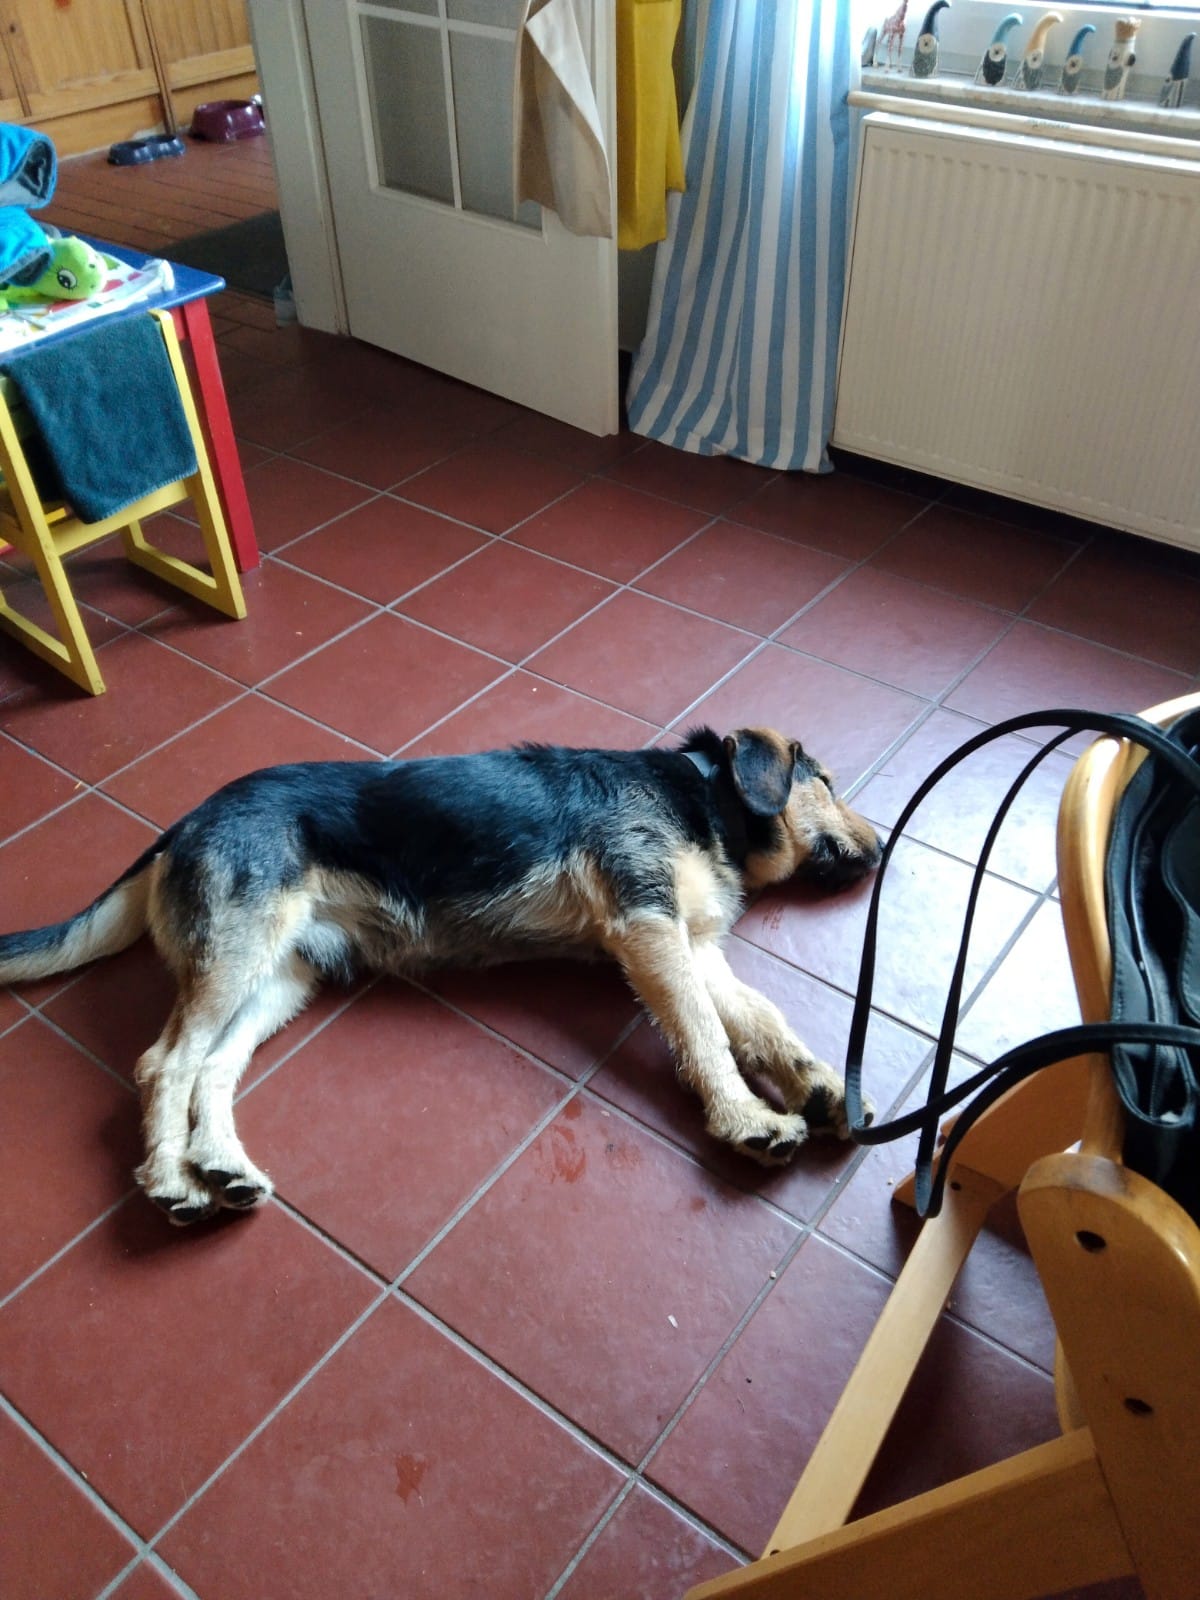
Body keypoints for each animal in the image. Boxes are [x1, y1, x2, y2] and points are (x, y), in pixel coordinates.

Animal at [0, 726, 881, 1224]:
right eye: (826, 782)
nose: (881, 848)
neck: (703, 793)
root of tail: (183, 823)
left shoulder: (694, 947)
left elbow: (760, 1019)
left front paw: (819, 1085)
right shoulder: (649, 925)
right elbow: (704, 1034)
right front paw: (745, 1117)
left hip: (281, 977)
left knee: (211, 1068)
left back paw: (220, 1163)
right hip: (238, 955)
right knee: (164, 1062)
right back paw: (171, 1180)